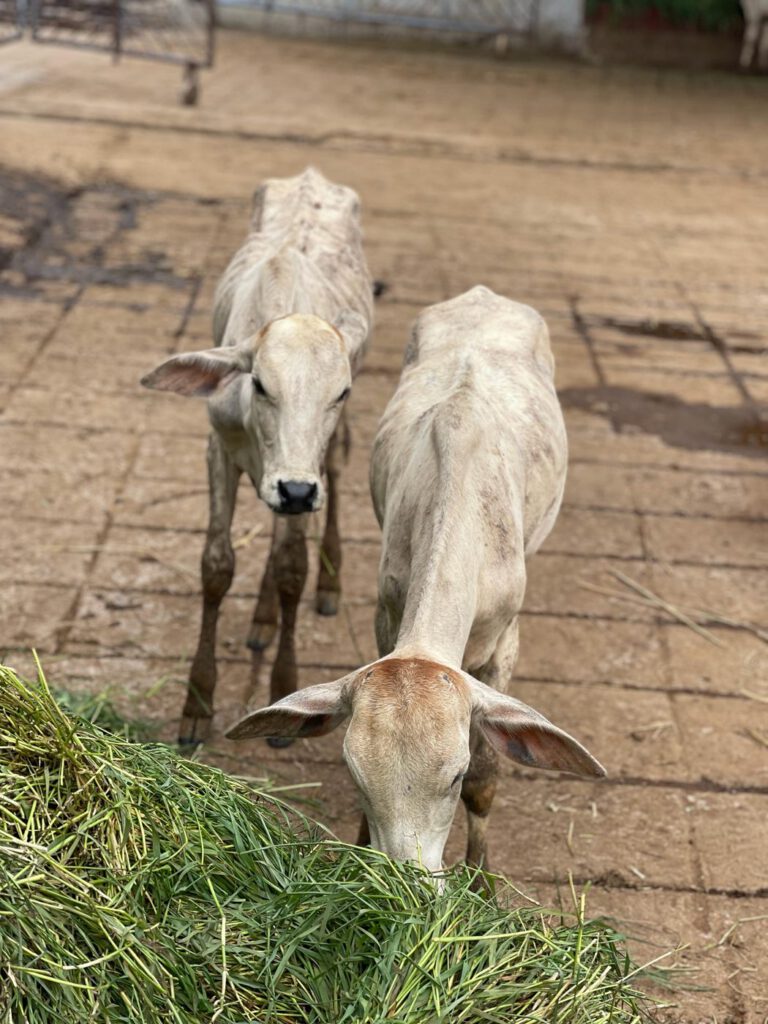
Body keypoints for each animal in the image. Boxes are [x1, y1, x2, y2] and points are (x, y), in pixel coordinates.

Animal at [141, 168, 374, 747]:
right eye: (261, 384)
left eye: (340, 393)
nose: (296, 490)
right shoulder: (218, 450)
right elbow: (216, 566)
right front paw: (197, 703)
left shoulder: (307, 471)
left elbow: (292, 567)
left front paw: (283, 692)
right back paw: (262, 620)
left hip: (322, 465)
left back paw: (325, 584)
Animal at [226, 286, 604, 875]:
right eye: (355, 775)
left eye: (453, 775)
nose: (406, 882)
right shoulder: (387, 612)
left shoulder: (505, 640)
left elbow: (487, 781)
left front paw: (483, 883)